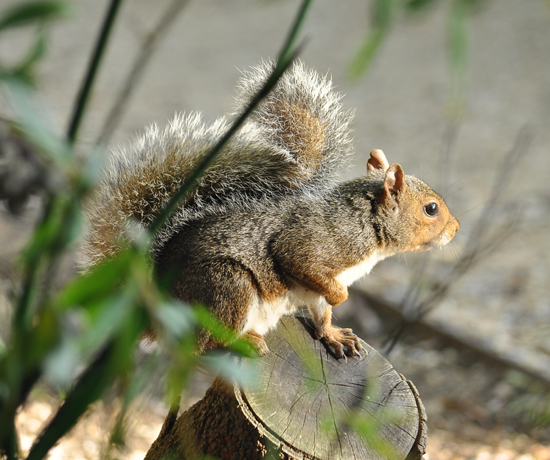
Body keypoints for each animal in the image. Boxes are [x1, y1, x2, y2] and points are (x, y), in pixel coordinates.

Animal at [81, 60, 462, 360]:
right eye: (431, 209)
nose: (457, 228)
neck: (366, 223)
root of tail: (154, 309)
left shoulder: (318, 287)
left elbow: (322, 313)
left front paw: (334, 335)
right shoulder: (316, 246)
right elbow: (301, 263)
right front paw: (342, 298)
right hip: (226, 286)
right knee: (201, 345)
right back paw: (242, 342)